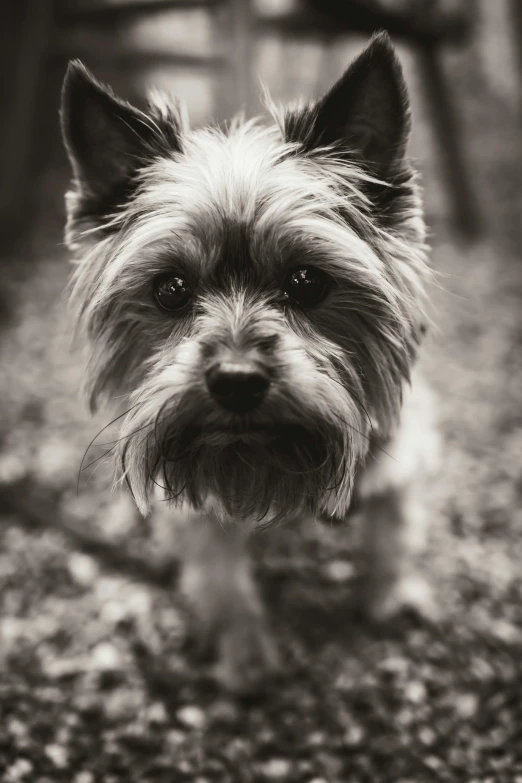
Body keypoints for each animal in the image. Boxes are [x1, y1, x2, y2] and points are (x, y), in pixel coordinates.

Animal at [63, 32, 438, 692]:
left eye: (307, 281)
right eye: (170, 289)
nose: (236, 381)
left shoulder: (404, 444)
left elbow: (392, 530)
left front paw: (389, 596)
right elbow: (220, 573)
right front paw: (246, 652)